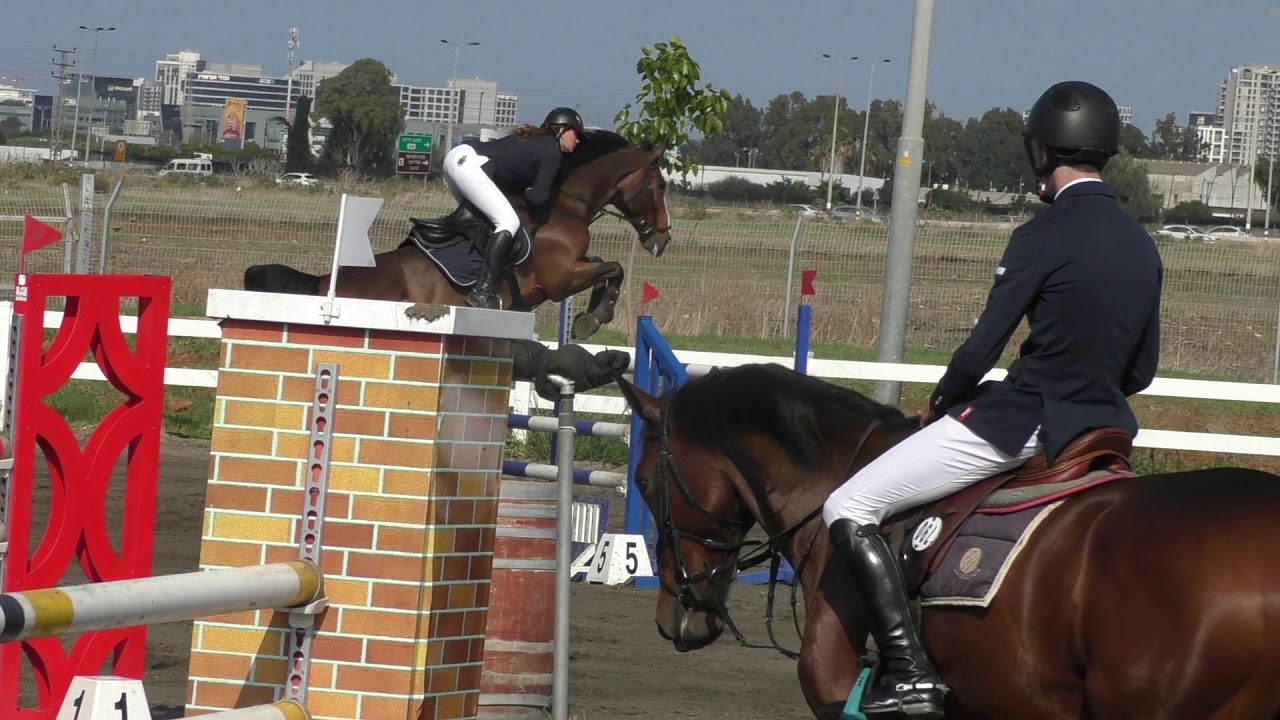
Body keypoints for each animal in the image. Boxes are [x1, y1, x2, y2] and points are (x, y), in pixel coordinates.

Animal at [243, 130, 672, 340]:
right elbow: (613, 268)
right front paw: (594, 318)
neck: (566, 204)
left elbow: (606, 267)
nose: (663, 239)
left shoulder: (574, 269)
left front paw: (590, 316)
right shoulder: (561, 279)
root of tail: (322, 284)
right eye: (661, 185)